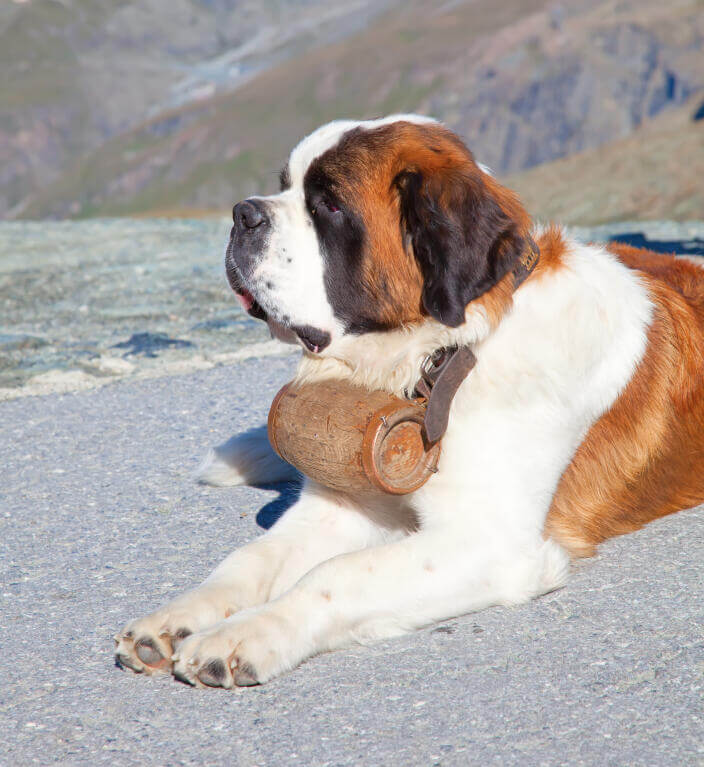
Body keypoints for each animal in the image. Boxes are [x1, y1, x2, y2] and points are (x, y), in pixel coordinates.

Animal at [117, 114, 704, 688]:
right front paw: (177, 618)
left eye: (329, 205)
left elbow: (335, 575)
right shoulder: (343, 505)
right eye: (284, 185)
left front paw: (244, 635)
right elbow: (251, 558)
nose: (243, 214)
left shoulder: (489, 541)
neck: (442, 355)